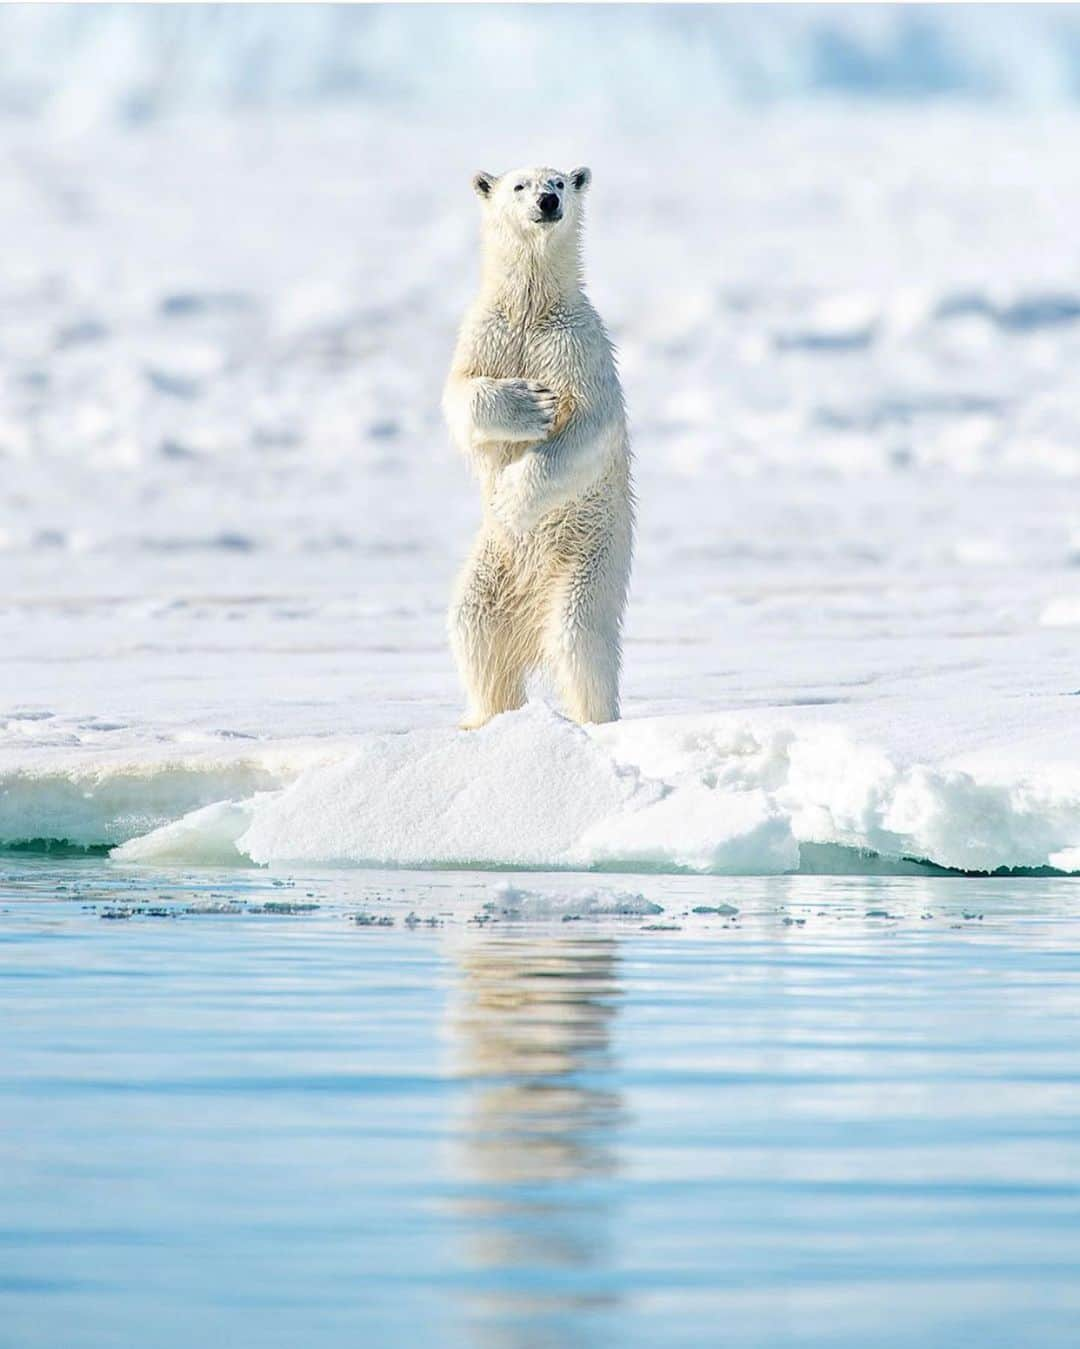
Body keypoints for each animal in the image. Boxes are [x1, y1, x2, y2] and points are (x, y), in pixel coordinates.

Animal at [442, 164, 631, 733]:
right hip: (491, 565)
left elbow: (590, 423)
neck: (533, 307)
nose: (548, 201)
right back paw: (481, 719)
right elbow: (460, 396)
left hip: (589, 561)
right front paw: (528, 403)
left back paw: (594, 720)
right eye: (519, 186)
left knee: (579, 640)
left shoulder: (577, 345)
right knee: (473, 627)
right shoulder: (488, 334)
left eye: (562, 182)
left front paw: (509, 497)